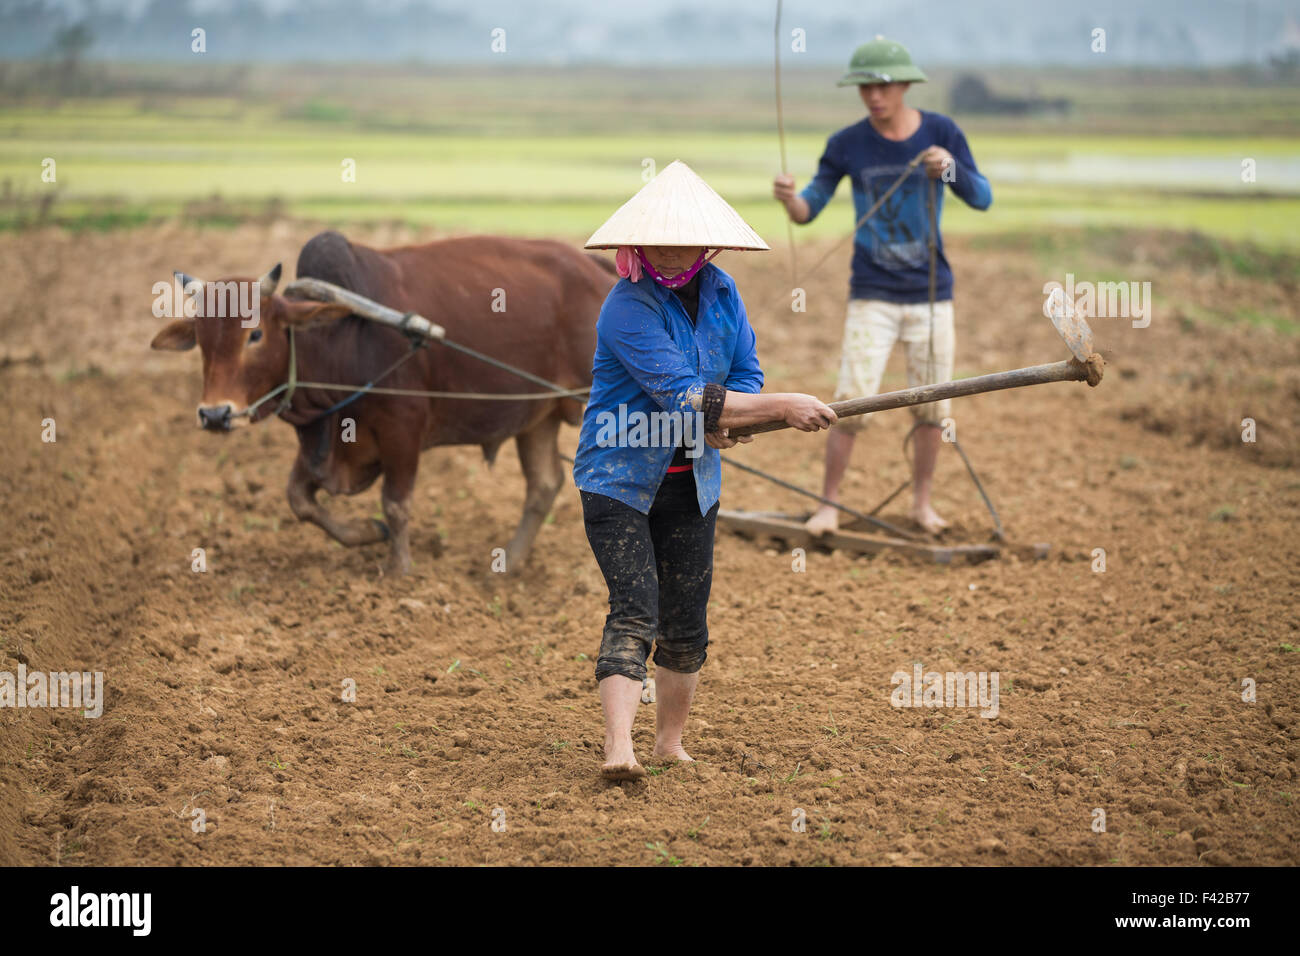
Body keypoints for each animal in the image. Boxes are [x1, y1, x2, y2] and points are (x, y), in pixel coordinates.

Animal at [149, 231, 616, 574]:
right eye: (201, 339)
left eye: (256, 334)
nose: (215, 414)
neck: (342, 339)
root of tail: (595, 266)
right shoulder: (325, 437)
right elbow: (299, 500)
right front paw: (369, 534)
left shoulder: (402, 430)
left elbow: (395, 504)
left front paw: (398, 570)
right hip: (538, 416)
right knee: (544, 485)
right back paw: (509, 565)